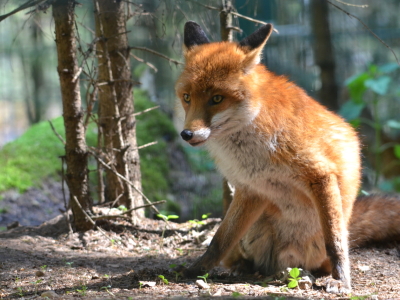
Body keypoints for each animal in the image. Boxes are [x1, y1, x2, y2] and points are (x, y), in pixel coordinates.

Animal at [177, 22, 400, 294]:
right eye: (187, 97)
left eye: (217, 99)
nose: (187, 134)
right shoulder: (250, 188)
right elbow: (219, 240)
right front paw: (196, 270)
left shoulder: (320, 174)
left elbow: (335, 241)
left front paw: (343, 279)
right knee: (238, 254)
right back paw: (244, 267)